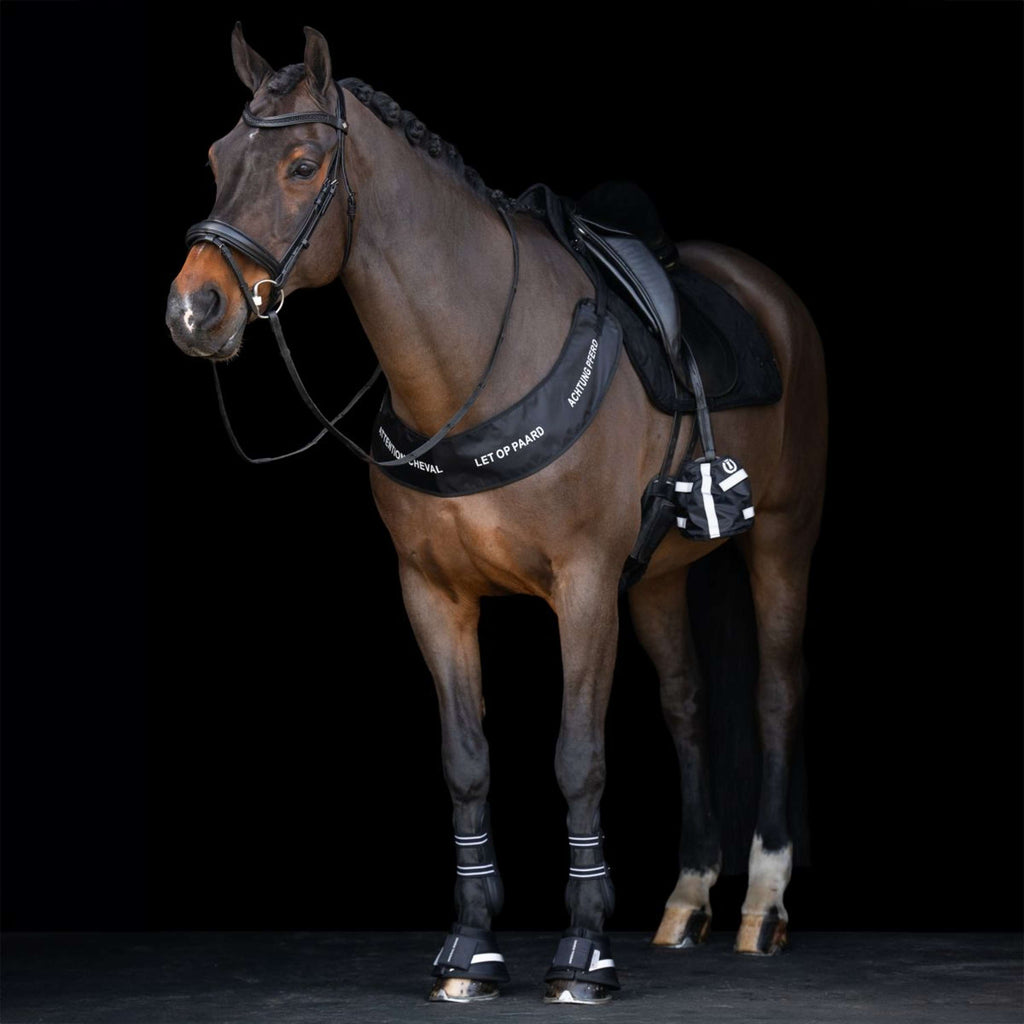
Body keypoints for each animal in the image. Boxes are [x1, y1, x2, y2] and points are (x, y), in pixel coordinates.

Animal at [164, 24, 827, 1005]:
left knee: (777, 696)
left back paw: (763, 906)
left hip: (783, 538)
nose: (192, 307)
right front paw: (469, 950)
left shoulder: (583, 589)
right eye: (216, 158)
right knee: (686, 704)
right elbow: (467, 763)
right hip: (656, 579)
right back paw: (687, 900)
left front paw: (583, 953)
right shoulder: (433, 596)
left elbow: (578, 758)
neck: (478, 358)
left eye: (300, 164)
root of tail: (768, 297)